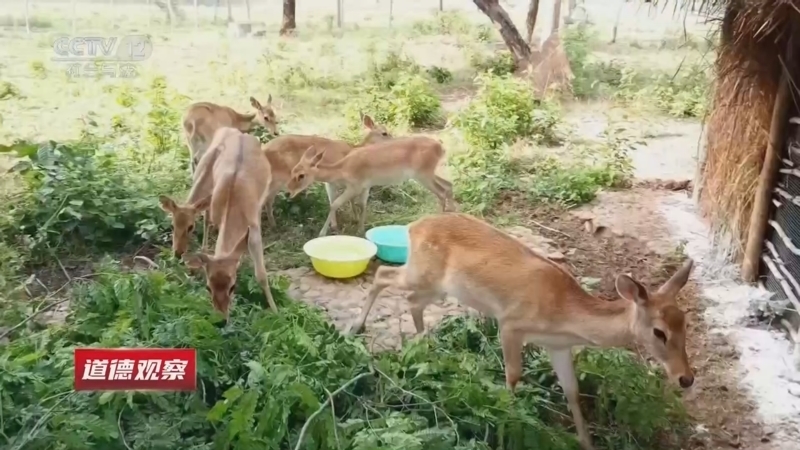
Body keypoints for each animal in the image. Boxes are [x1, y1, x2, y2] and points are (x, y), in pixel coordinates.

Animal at [160, 127, 278, 321]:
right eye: (208, 287)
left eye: (233, 286)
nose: (221, 320)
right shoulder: (217, 218)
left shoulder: (254, 229)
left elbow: (261, 274)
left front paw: (276, 310)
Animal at [261, 114, 392, 230]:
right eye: (384, 133)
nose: (394, 140)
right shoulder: (333, 181)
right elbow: (334, 201)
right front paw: (334, 226)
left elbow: (351, 200)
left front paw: (354, 219)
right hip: (277, 179)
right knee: (266, 199)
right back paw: (272, 225)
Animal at [286, 136, 456, 237]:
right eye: (293, 169)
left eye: (301, 175)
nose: (289, 192)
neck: (343, 168)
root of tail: (441, 148)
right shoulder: (364, 187)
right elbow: (361, 205)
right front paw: (360, 230)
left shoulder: (355, 186)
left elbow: (334, 204)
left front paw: (322, 233)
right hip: (428, 174)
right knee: (449, 185)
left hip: (423, 175)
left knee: (441, 192)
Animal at [347, 212, 695, 450]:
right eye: (659, 332)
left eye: (685, 324)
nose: (686, 378)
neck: (563, 314)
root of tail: (412, 226)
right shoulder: (511, 324)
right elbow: (513, 377)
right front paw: (506, 427)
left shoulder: (558, 346)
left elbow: (572, 390)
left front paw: (586, 442)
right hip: (423, 275)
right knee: (383, 274)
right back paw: (356, 327)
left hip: (436, 286)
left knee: (409, 298)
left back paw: (424, 348)